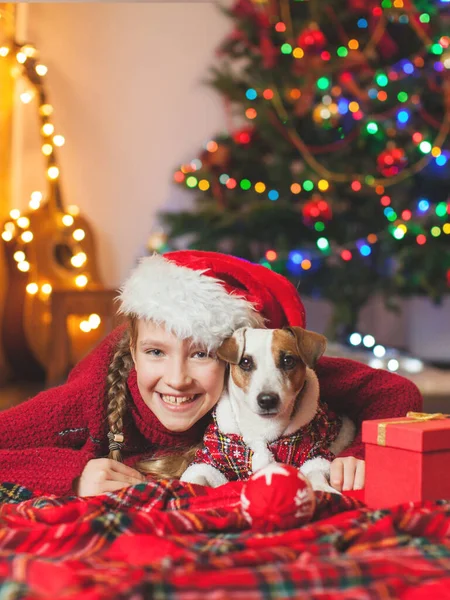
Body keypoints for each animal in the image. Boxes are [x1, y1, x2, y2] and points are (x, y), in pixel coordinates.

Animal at [180, 328, 356, 492]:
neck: (263, 427)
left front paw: (323, 489)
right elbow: (198, 476)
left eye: (288, 360)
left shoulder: (313, 453)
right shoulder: (212, 460)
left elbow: (315, 471)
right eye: (245, 362)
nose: (267, 400)